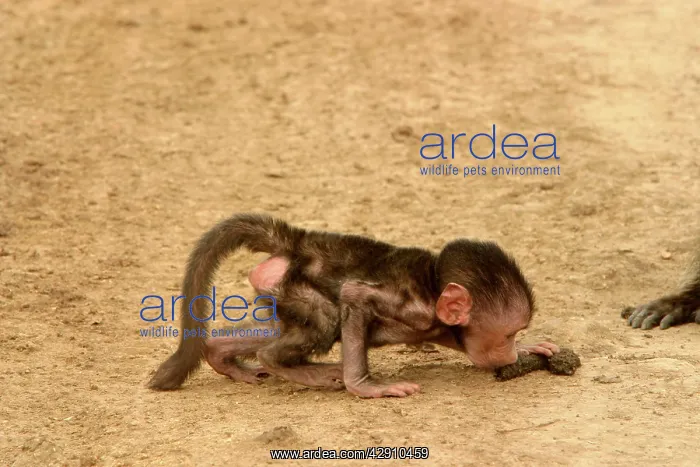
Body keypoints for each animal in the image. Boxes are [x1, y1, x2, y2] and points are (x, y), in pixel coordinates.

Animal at [147, 213, 559, 398]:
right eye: (506, 334)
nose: (510, 354)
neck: (432, 284)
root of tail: (300, 242)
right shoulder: (414, 307)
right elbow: (354, 295)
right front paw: (365, 386)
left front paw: (531, 348)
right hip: (298, 289)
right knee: (324, 321)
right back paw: (293, 367)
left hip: (281, 292)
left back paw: (221, 354)